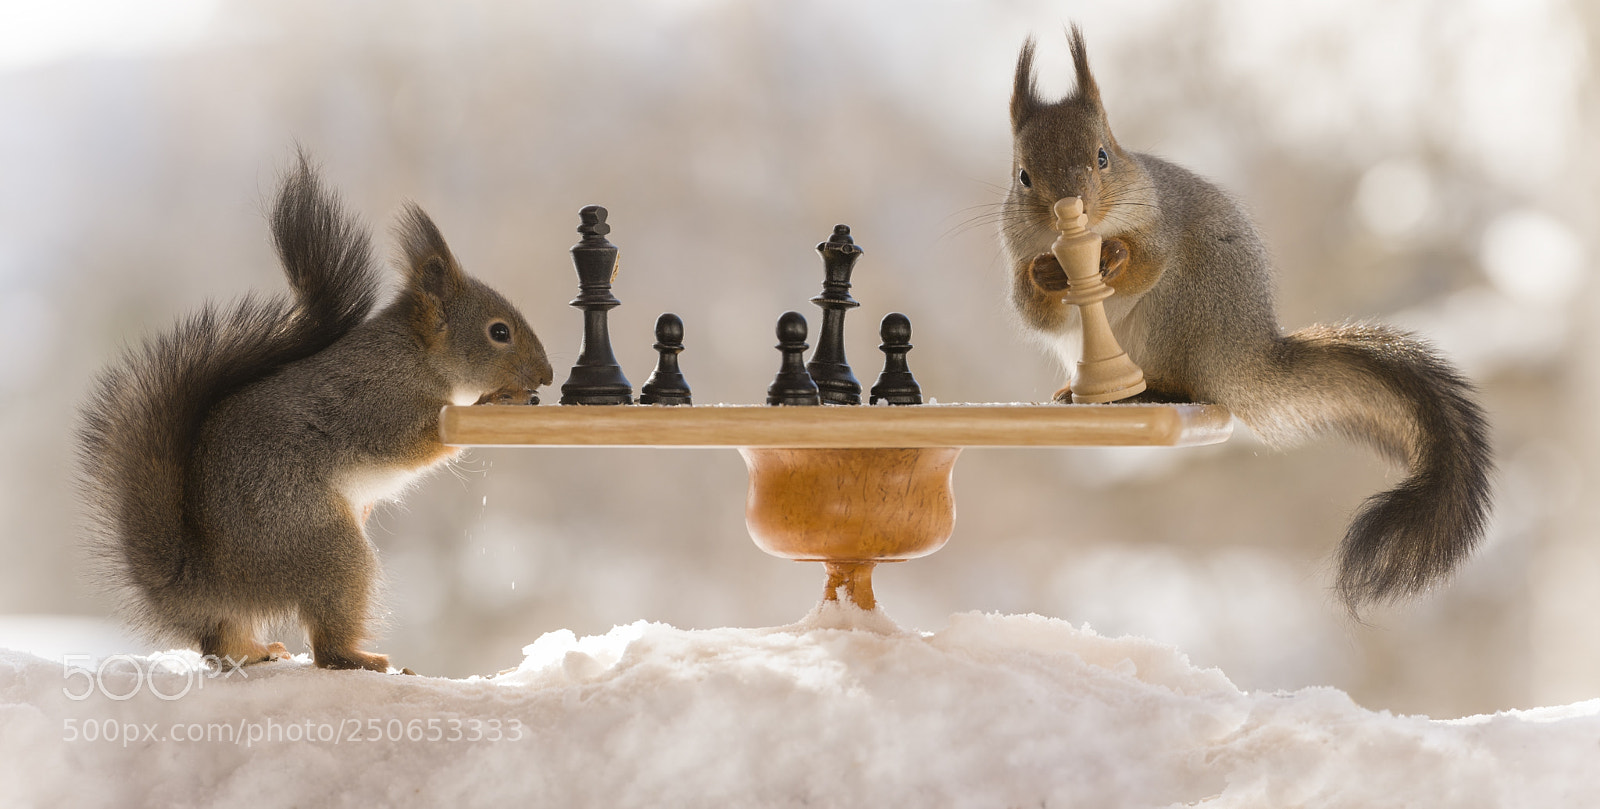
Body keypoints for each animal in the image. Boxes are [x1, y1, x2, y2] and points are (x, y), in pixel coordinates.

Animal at [77, 154, 553, 671]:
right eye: (499, 332)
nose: (546, 376)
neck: (417, 355)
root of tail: (211, 581)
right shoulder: (379, 404)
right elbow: (416, 441)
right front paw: (495, 403)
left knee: (224, 644)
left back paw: (259, 652)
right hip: (327, 549)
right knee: (326, 649)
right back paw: (362, 658)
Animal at [1001, 27, 1493, 613]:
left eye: (1103, 156)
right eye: (1023, 176)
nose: (1069, 207)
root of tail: (1239, 354)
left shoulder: (1158, 222)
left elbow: (1144, 263)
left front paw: (1115, 256)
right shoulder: (1017, 259)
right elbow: (1033, 309)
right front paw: (1047, 274)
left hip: (1184, 305)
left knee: (1181, 380)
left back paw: (1148, 390)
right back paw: (1072, 393)